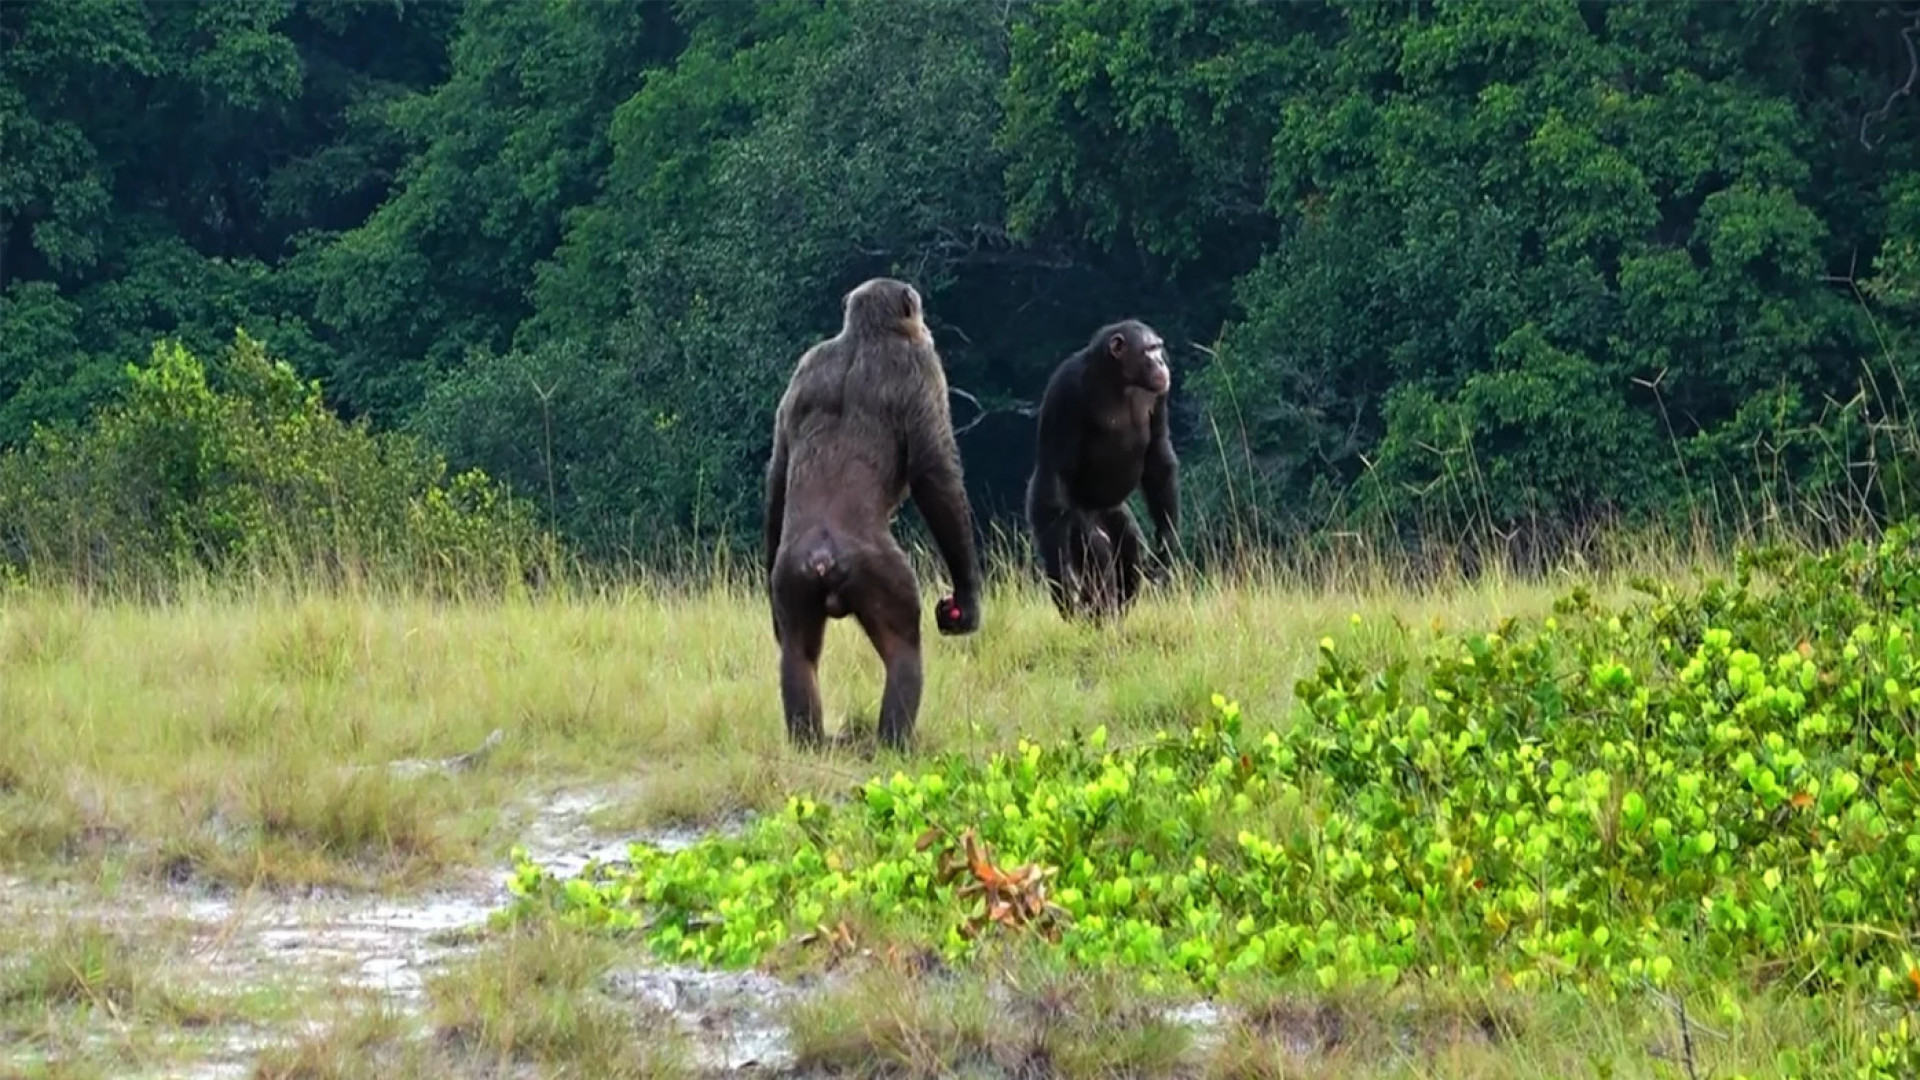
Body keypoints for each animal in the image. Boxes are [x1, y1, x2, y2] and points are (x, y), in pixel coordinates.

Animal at [760, 276, 983, 749]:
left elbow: (779, 466)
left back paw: (809, 739)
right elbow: (934, 471)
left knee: (798, 655)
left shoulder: (805, 368)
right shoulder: (922, 366)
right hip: (880, 573)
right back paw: (896, 741)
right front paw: (969, 600)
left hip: (791, 577)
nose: (924, 321)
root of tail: (822, 556)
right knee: (903, 649)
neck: (864, 337)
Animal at [1029, 319, 1175, 618]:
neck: (1119, 379)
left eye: (1158, 347)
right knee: (1097, 551)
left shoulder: (1160, 395)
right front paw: (1062, 582)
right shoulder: (1064, 391)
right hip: (1077, 518)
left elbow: (1157, 455)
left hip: (1115, 512)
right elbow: (1055, 473)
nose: (1161, 362)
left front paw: (1167, 543)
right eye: (1148, 350)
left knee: (1131, 549)